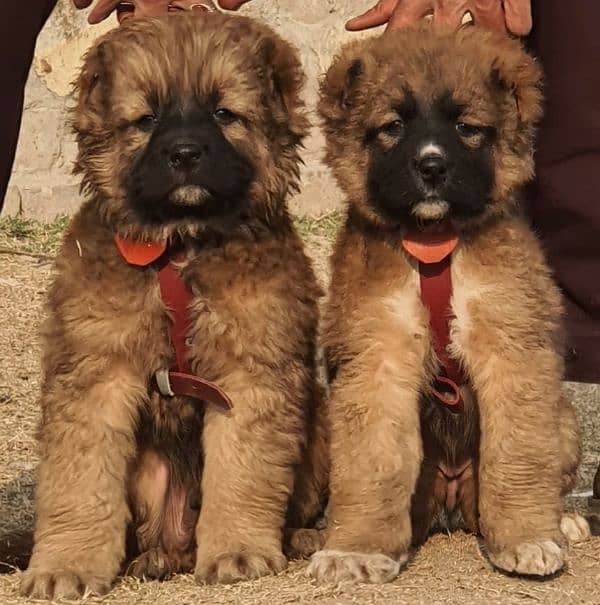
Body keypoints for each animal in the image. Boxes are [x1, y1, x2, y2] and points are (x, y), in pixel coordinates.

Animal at [19, 13, 328, 600]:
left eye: (224, 113)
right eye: (147, 119)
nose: (184, 154)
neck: (180, 249)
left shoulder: (251, 372)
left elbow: (243, 472)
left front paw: (237, 552)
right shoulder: (95, 371)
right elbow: (79, 481)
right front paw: (65, 566)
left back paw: (299, 537)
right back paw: (157, 557)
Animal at [308, 26, 588, 584]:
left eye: (466, 127)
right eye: (393, 126)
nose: (432, 166)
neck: (436, 242)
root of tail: (453, 496)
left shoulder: (512, 345)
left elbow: (518, 456)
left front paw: (527, 536)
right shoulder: (378, 353)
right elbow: (373, 460)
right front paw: (358, 548)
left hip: (565, 422)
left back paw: (563, 519)